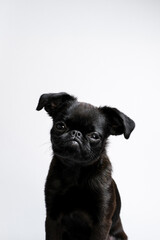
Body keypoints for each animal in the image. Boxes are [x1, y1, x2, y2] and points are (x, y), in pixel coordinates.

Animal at [36, 92, 135, 240]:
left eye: (94, 136)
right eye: (60, 126)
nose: (76, 133)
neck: (76, 169)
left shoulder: (101, 222)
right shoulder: (52, 217)